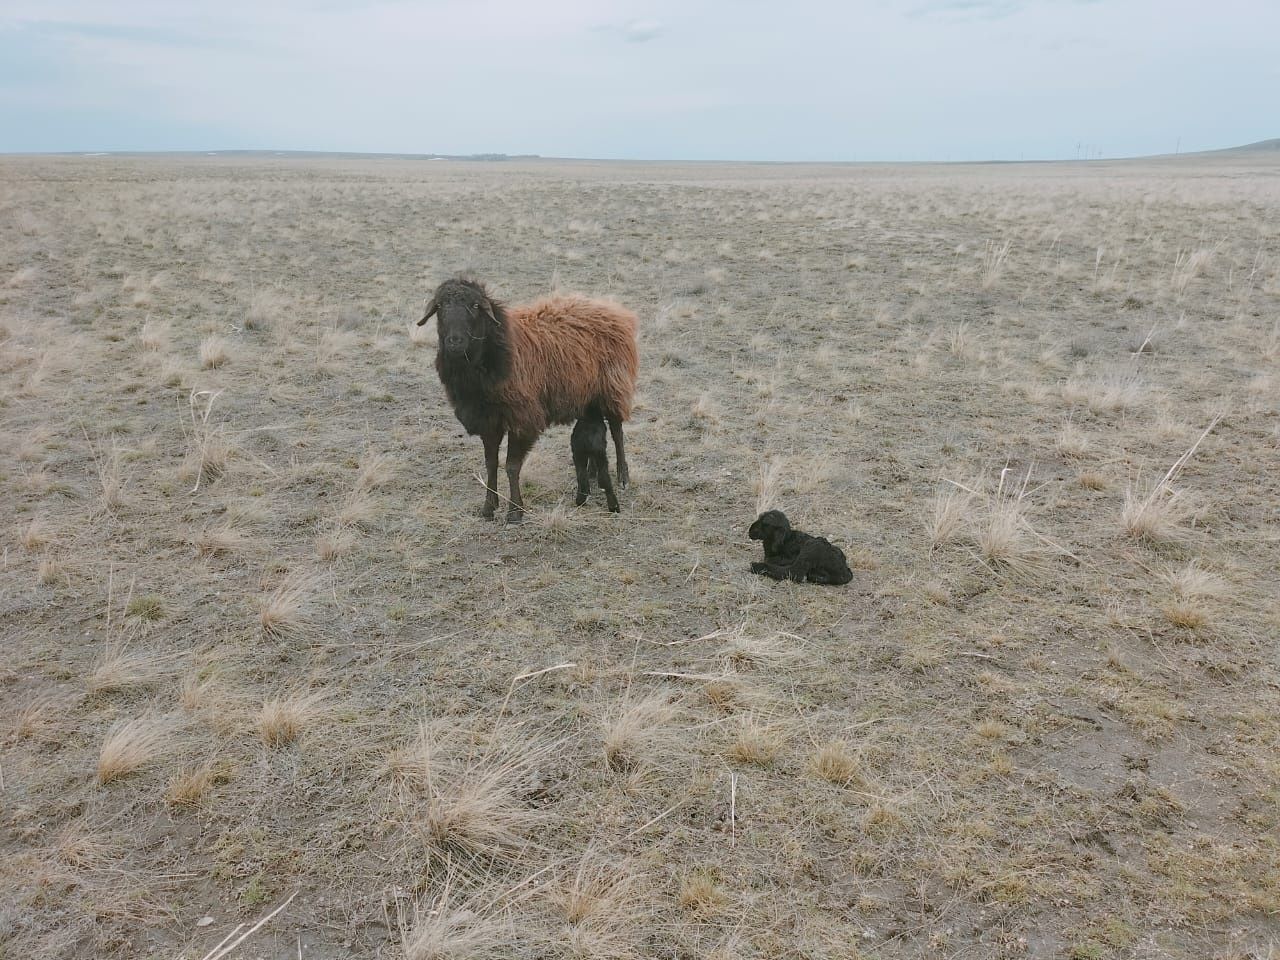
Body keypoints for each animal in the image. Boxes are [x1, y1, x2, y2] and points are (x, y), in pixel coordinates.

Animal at [419, 271, 640, 527]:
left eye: (475, 306)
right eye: (440, 306)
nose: (455, 342)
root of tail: (614, 309)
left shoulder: (522, 418)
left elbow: (511, 467)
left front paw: (515, 512)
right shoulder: (488, 420)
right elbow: (491, 464)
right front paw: (488, 507)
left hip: (614, 385)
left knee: (617, 431)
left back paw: (623, 476)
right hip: (588, 395)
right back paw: (593, 473)